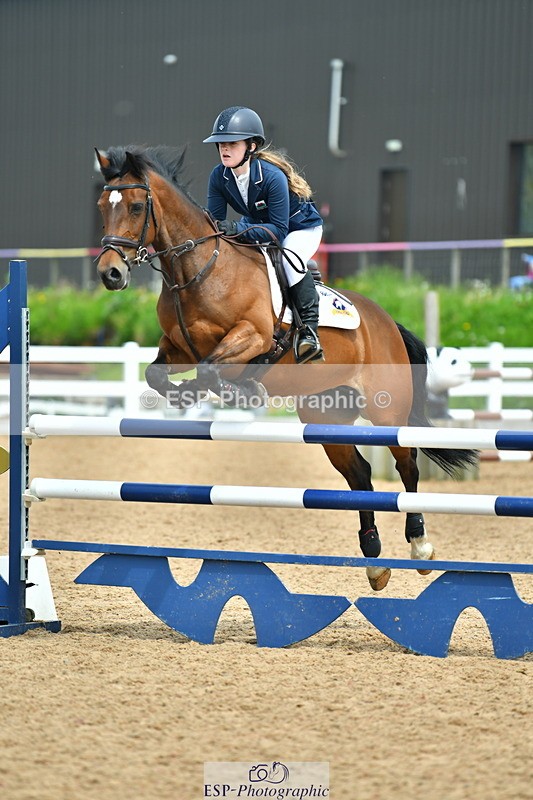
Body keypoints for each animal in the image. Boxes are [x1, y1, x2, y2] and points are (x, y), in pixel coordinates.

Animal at [95, 144, 476, 591]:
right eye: (102, 207)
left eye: (137, 206)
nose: (110, 273)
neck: (197, 271)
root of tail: (386, 320)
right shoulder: (178, 349)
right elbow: (159, 373)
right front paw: (190, 395)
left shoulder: (253, 337)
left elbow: (212, 369)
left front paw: (237, 391)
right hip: (325, 414)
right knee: (360, 475)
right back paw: (374, 561)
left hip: (387, 411)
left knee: (407, 465)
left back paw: (420, 546)